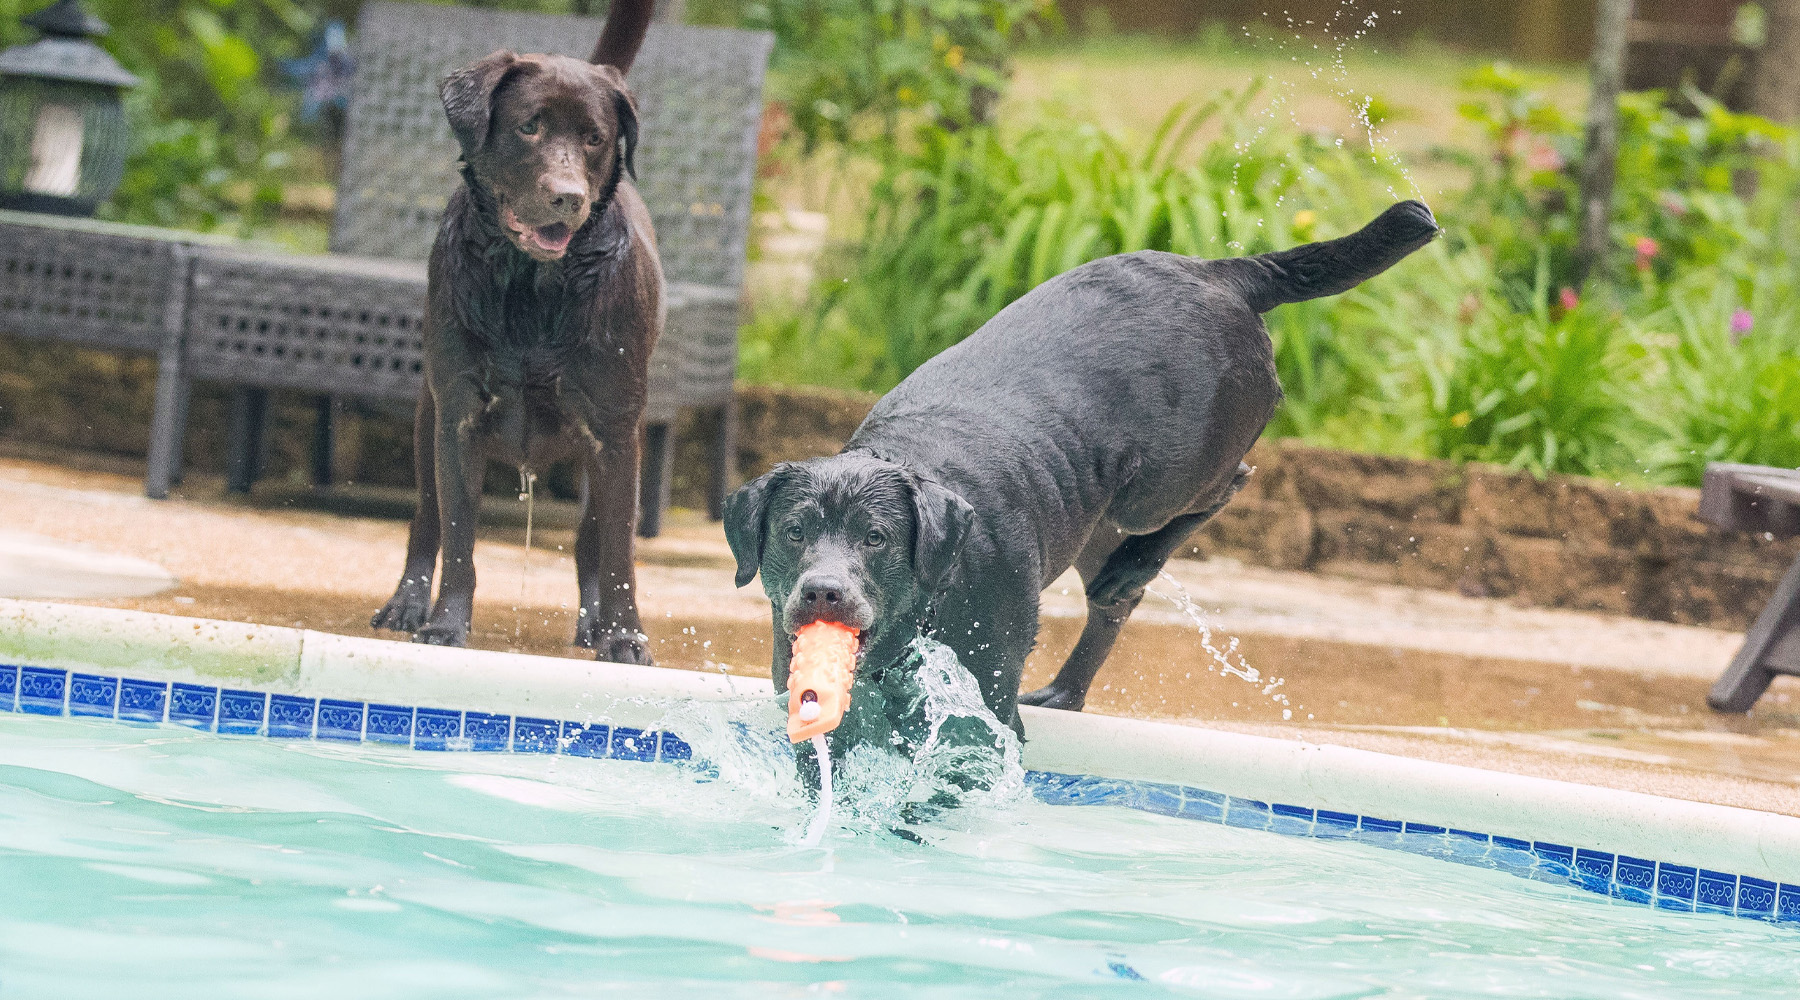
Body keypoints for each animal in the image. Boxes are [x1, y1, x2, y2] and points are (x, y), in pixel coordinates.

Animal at [370, 0, 662, 665]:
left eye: (594, 138)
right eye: (530, 126)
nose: (568, 197)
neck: (533, 286)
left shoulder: (615, 431)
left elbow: (619, 555)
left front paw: (626, 638)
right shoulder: (459, 416)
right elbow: (459, 538)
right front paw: (445, 626)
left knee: (591, 542)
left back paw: (595, 624)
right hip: (427, 420)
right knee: (426, 521)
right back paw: (406, 603)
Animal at [723, 201, 1440, 741]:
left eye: (877, 538)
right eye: (793, 532)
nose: (823, 592)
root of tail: (1223, 272)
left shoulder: (989, 687)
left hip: (1159, 484)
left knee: (1229, 484)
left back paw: (1138, 566)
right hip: (1093, 514)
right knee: (1114, 601)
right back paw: (1073, 679)